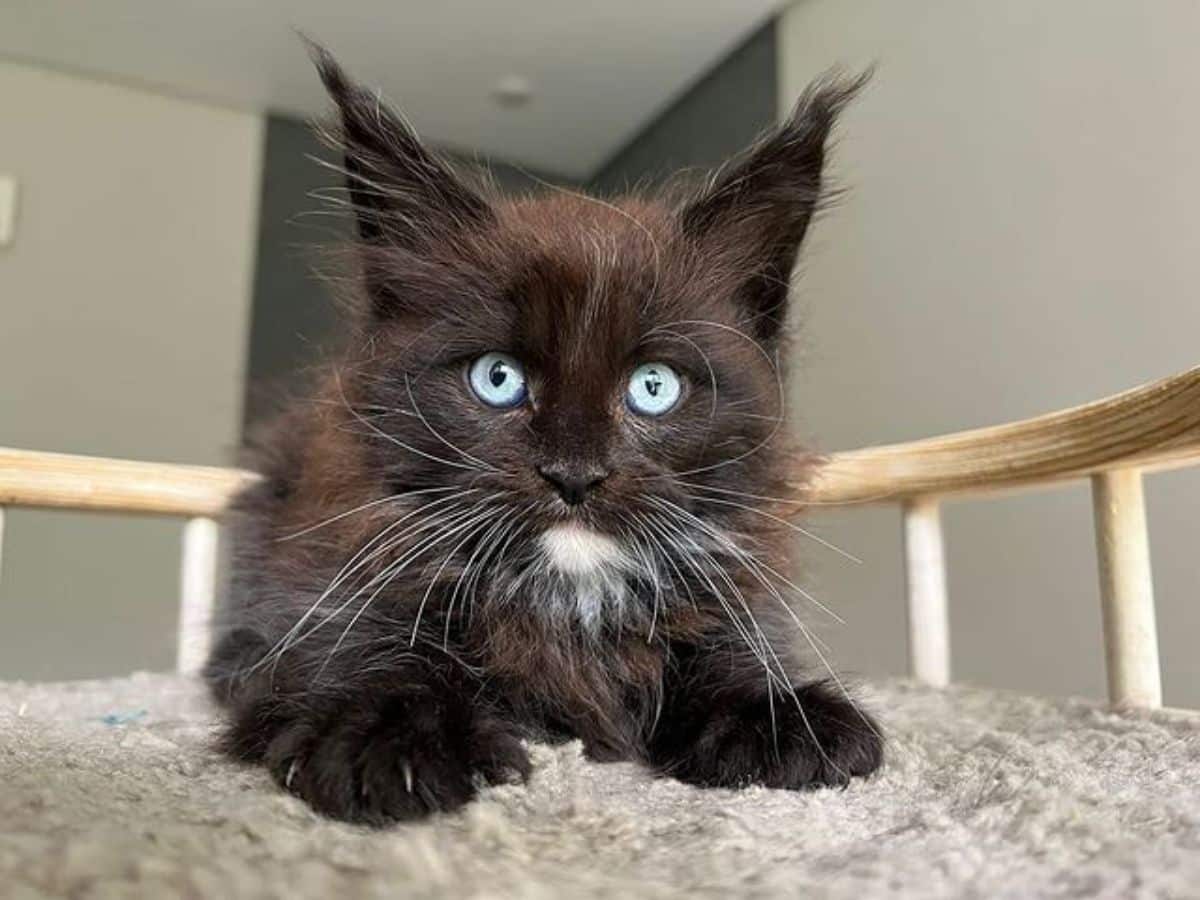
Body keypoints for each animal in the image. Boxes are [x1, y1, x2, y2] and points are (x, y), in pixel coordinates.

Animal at [204, 47, 883, 825]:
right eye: (497, 378)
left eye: (654, 387)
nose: (575, 473)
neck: (569, 598)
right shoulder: (337, 554)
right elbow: (361, 637)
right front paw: (387, 729)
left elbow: (722, 644)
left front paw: (772, 713)